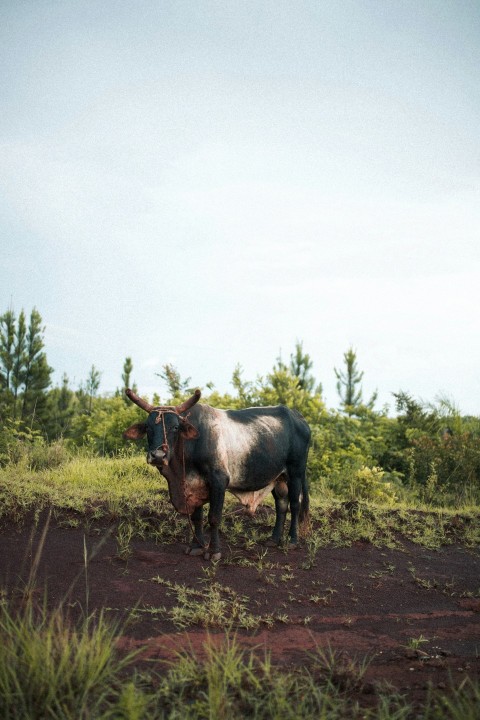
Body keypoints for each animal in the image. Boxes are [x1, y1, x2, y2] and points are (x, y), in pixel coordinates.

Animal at [123, 388, 311, 560]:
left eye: (175, 427)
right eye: (148, 428)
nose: (157, 456)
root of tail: (298, 417)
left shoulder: (219, 481)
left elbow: (213, 517)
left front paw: (214, 551)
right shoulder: (193, 485)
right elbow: (197, 517)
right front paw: (196, 546)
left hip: (295, 472)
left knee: (295, 504)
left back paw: (292, 540)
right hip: (278, 477)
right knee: (281, 504)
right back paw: (274, 539)